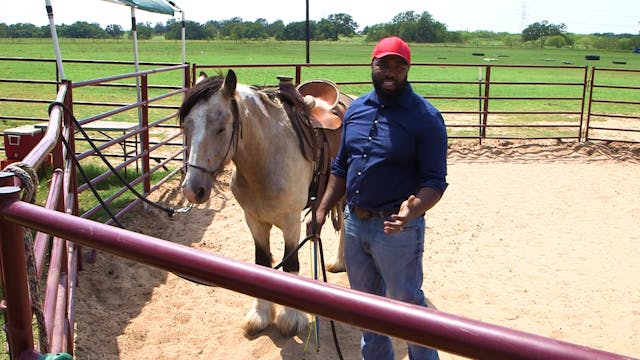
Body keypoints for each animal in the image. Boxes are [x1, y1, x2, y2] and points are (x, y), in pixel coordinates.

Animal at [179, 70, 350, 338]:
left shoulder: (290, 223)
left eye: (221, 128)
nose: (192, 189)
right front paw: (260, 315)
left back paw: (340, 261)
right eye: (186, 125)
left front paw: (291, 318)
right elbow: (262, 264)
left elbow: (290, 265)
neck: (265, 158)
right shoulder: (254, 220)